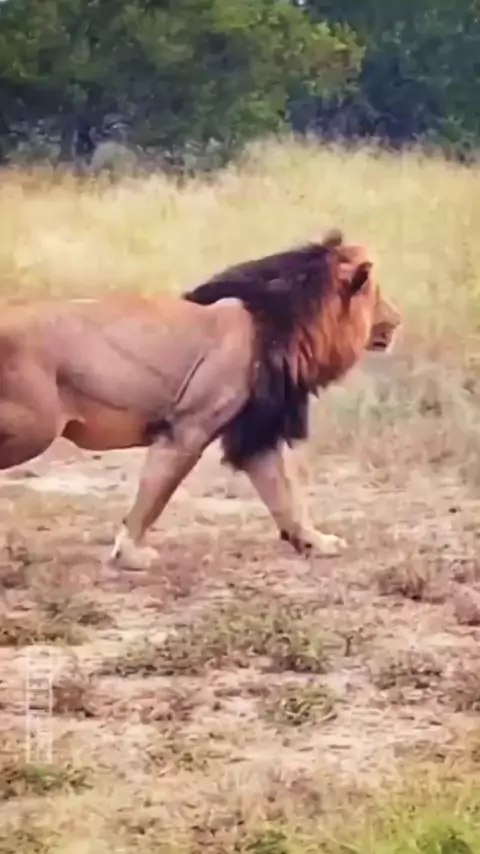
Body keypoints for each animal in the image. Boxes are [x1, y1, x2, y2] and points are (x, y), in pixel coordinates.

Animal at [0, 229, 399, 570]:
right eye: (378, 296)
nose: (397, 320)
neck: (290, 320)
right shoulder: (188, 428)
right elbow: (154, 497)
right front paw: (130, 554)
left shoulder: (254, 431)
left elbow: (285, 495)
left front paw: (314, 541)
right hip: (35, 428)